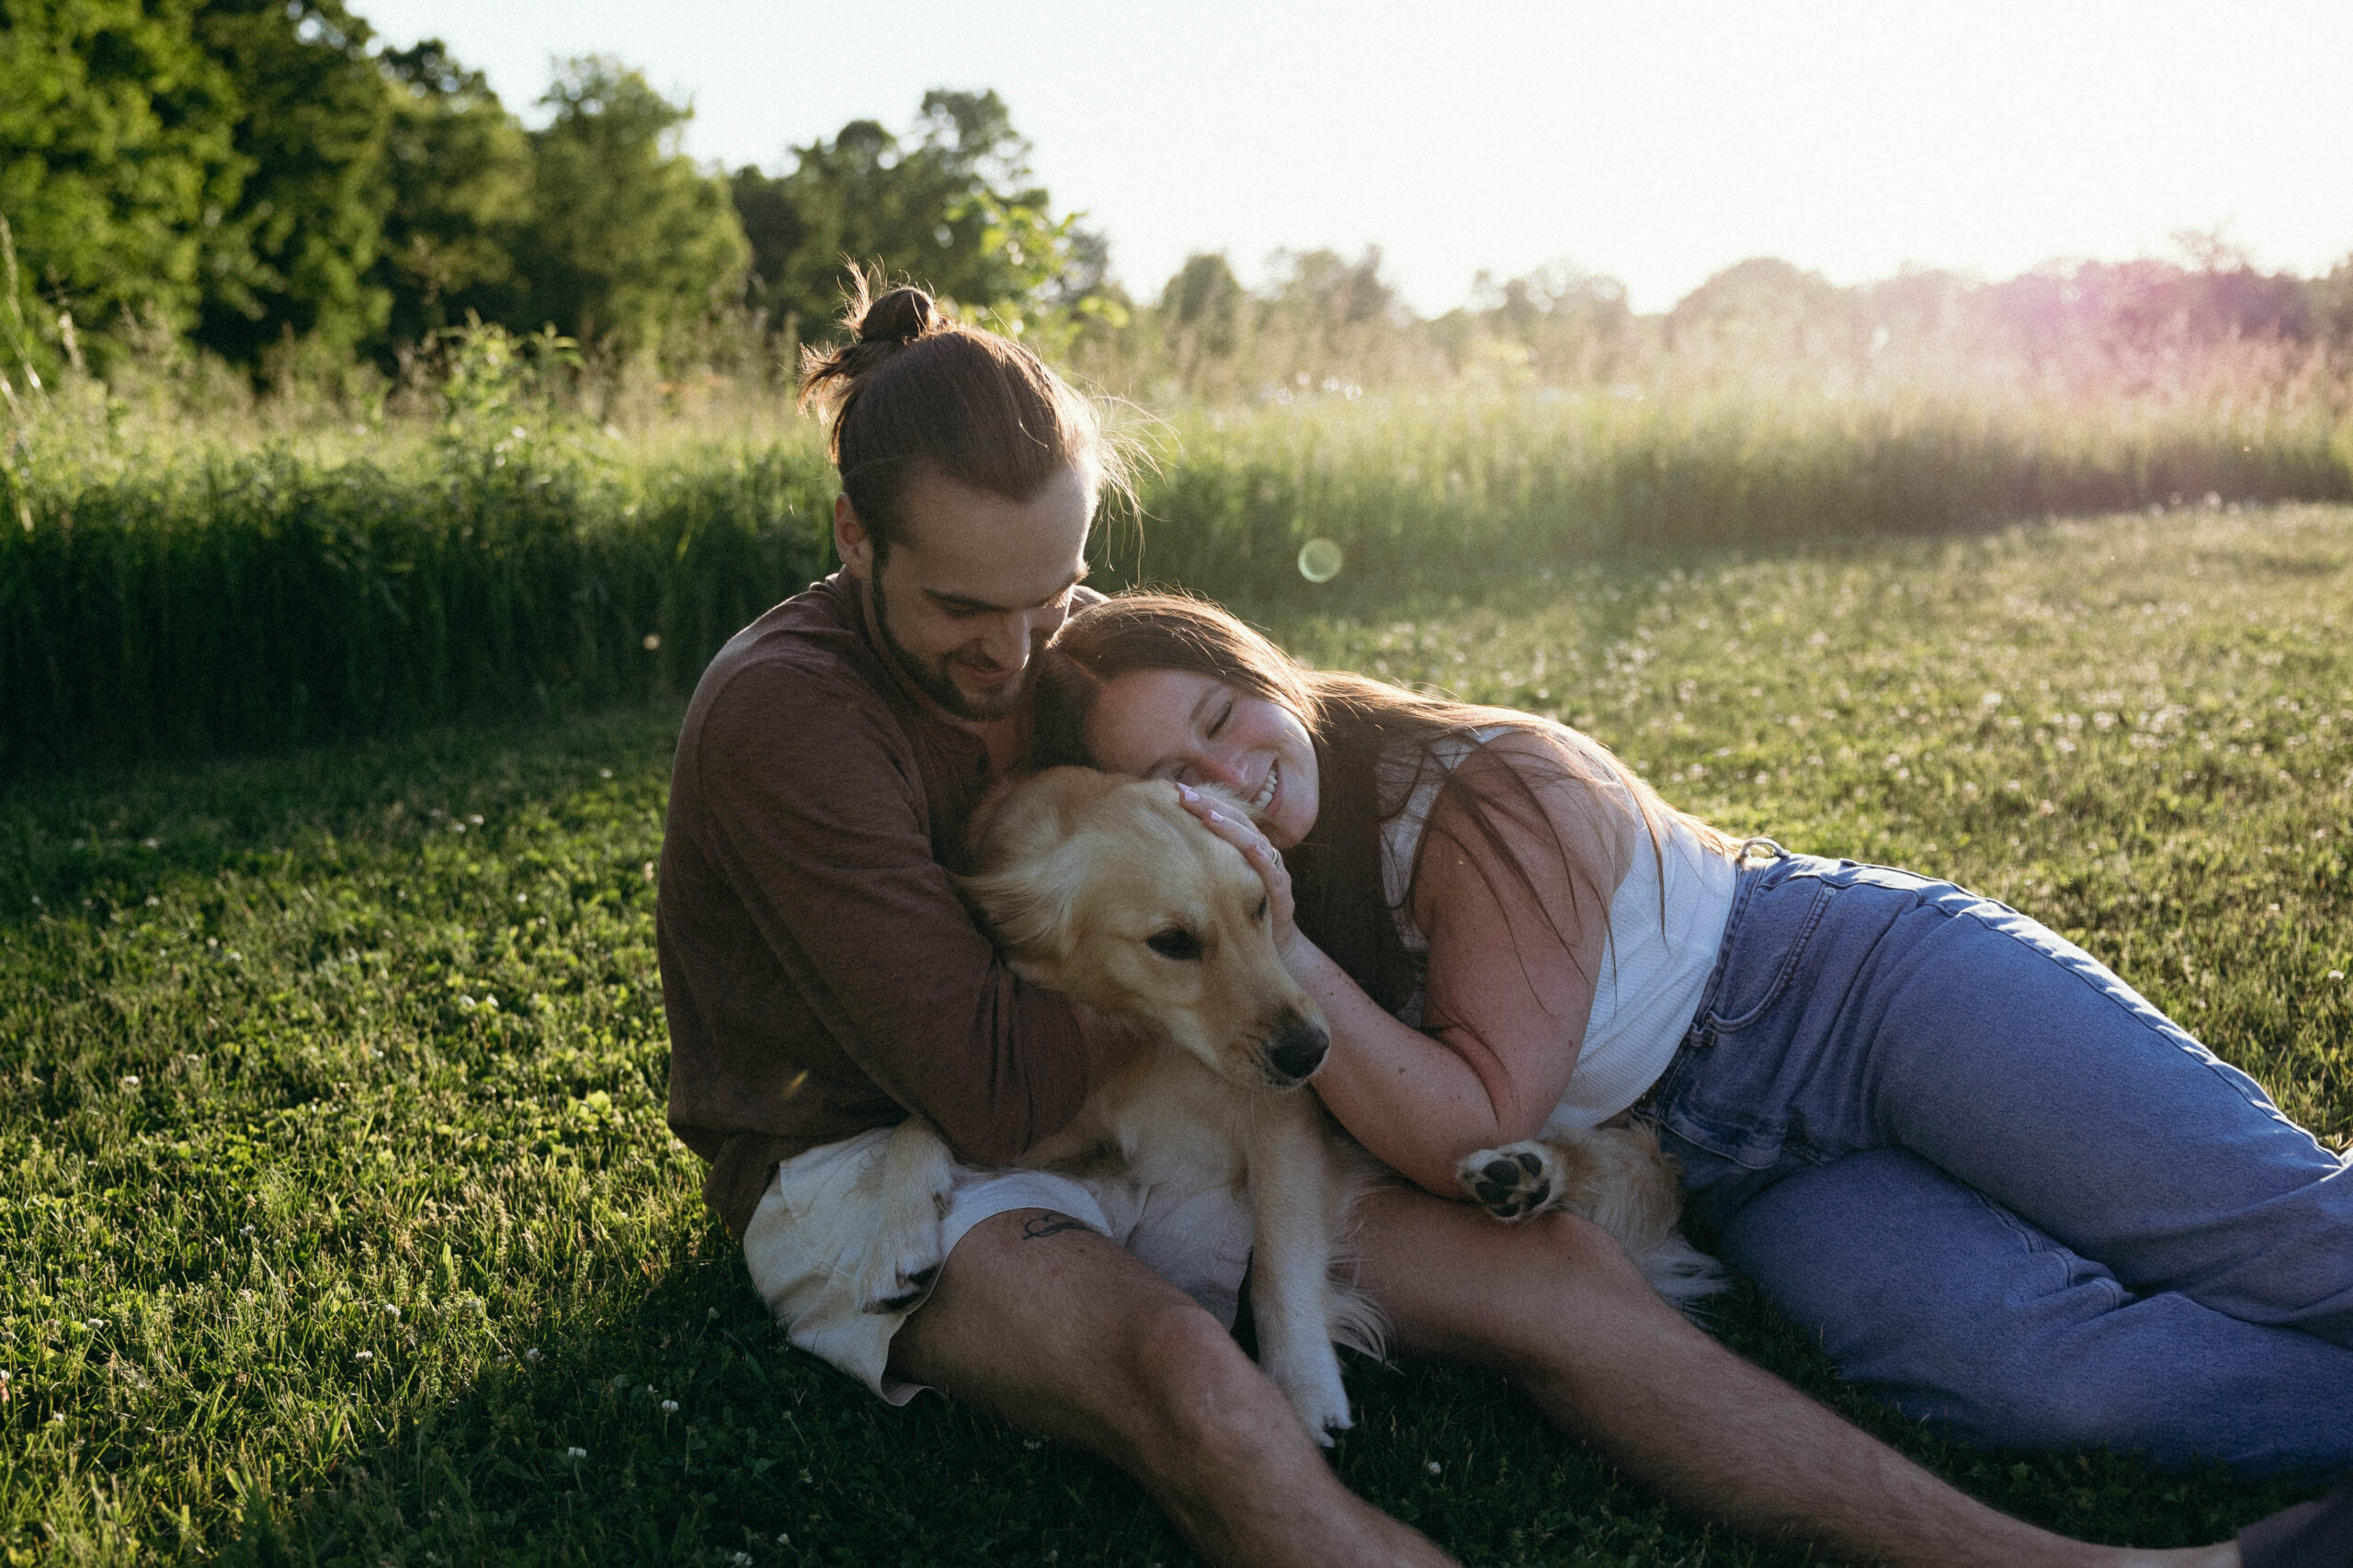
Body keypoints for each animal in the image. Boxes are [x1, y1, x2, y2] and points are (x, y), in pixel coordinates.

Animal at [860, 767, 1374, 1440]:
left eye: (1260, 906)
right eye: (1173, 943)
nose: (1311, 1052)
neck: (1147, 1044)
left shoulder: (1283, 1115)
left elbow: (1282, 1257)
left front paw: (1306, 1385)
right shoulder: (1040, 1111)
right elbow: (921, 1117)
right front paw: (897, 1231)